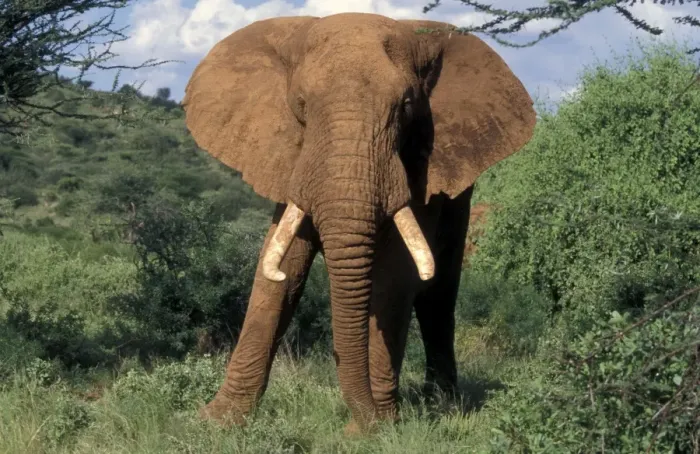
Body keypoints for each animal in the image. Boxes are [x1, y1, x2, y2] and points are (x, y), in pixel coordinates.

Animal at [182, 12, 536, 434]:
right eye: (300, 105)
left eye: (406, 106)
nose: (365, 420)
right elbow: (281, 269)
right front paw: (215, 422)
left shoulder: (421, 166)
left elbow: (396, 276)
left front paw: (371, 432)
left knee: (439, 295)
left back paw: (443, 404)